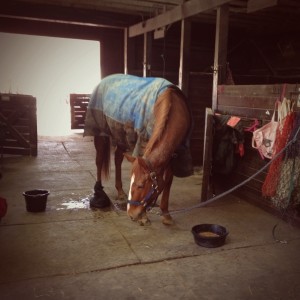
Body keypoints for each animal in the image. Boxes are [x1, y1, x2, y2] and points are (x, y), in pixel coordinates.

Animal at [84, 74, 192, 225]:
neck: (174, 105)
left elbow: (167, 183)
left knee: (118, 158)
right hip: (100, 133)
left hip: (121, 136)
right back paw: (99, 191)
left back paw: (120, 192)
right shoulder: (143, 143)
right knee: (99, 161)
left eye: (141, 185)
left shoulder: (172, 155)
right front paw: (145, 217)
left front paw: (166, 214)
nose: (131, 214)